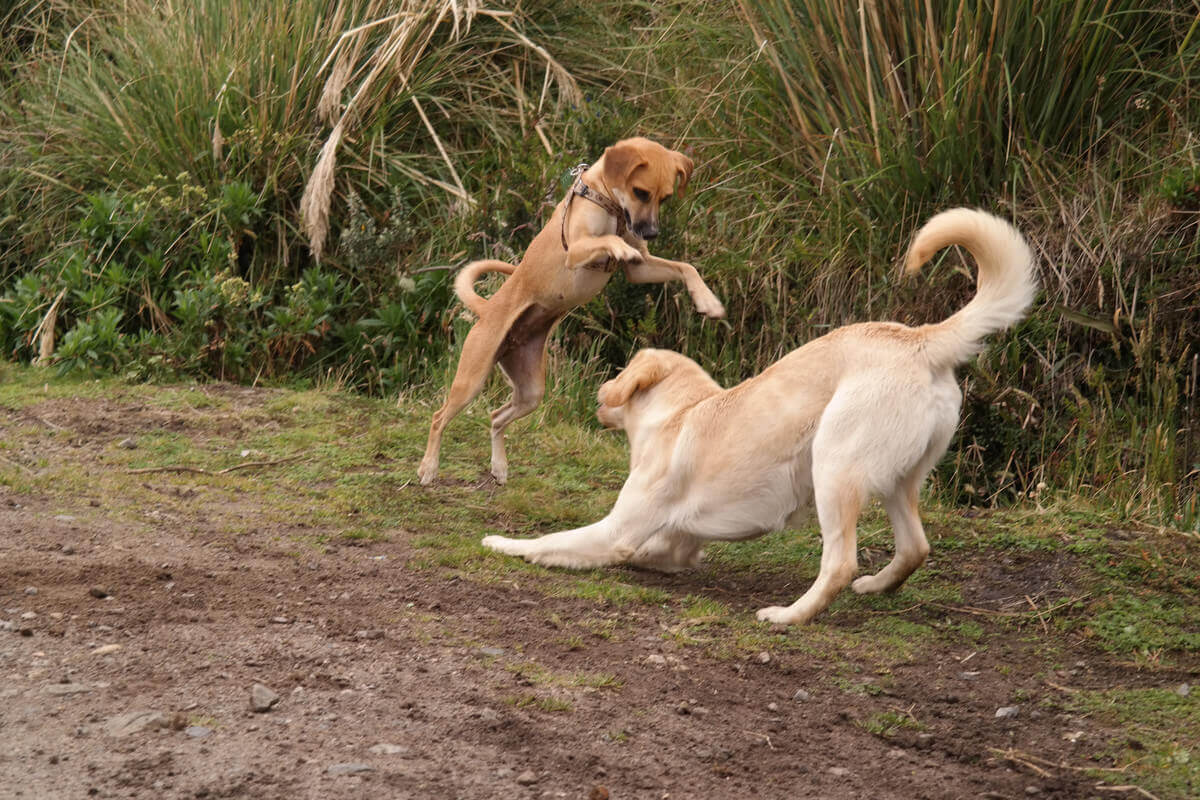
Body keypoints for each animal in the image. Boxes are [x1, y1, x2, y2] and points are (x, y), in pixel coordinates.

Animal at [417, 137, 724, 484]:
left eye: (666, 197)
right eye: (641, 192)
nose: (651, 233)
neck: (608, 201)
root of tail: (487, 309)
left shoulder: (641, 269)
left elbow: (686, 267)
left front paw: (707, 300)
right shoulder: (576, 251)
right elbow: (607, 240)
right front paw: (619, 246)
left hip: (531, 391)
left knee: (496, 416)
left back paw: (499, 466)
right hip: (471, 380)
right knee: (439, 417)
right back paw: (429, 467)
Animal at [482, 209, 1036, 628]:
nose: (600, 394)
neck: (682, 412)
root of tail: (920, 339)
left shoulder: (614, 530)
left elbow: (550, 542)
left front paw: (501, 541)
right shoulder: (676, 543)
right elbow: (660, 551)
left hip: (834, 468)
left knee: (839, 562)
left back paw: (789, 615)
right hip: (899, 480)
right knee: (915, 547)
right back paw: (875, 586)